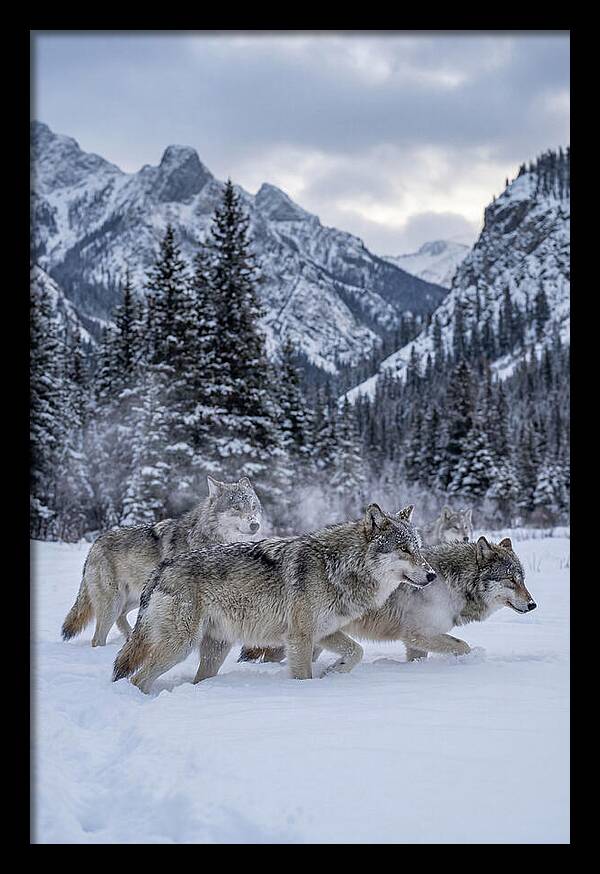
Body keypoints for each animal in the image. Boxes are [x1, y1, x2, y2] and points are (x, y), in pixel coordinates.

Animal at [61, 476, 262, 647]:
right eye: (236, 507)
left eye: (253, 506)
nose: (255, 524)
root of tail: (95, 543)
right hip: (114, 603)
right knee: (98, 638)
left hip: (137, 598)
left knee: (121, 618)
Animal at [112, 503, 437, 693]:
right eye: (404, 549)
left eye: (418, 547)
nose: (432, 574)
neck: (337, 565)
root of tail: (161, 568)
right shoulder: (300, 637)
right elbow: (304, 675)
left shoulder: (324, 632)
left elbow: (356, 651)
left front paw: (334, 672)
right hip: (180, 647)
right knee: (137, 679)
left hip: (215, 650)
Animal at [240, 533, 535, 665]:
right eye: (510, 580)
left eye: (523, 579)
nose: (533, 604)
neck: (452, 584)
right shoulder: (417, 634)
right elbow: (462, 645)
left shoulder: (416, 642)